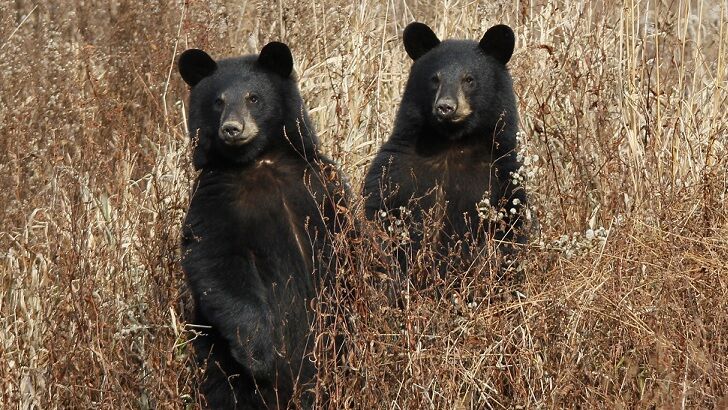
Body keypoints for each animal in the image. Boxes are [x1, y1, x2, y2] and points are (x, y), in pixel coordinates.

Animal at [176, 43, 346, 408]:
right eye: (218, 101)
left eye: (253, 97)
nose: (232, 128)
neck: (259, 161)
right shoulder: (213, 201)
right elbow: (216, 264)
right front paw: (261, 356)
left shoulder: (319, 184)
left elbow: (346, 236)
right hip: (216, 355)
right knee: (225, 388)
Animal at [364, 22, 528, 278]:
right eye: (435, 79)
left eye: (469, 79)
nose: (445, 107)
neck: (452, 142)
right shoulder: (395, 167)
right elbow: (380, 210)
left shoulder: (503, 173)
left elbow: (511, 227)